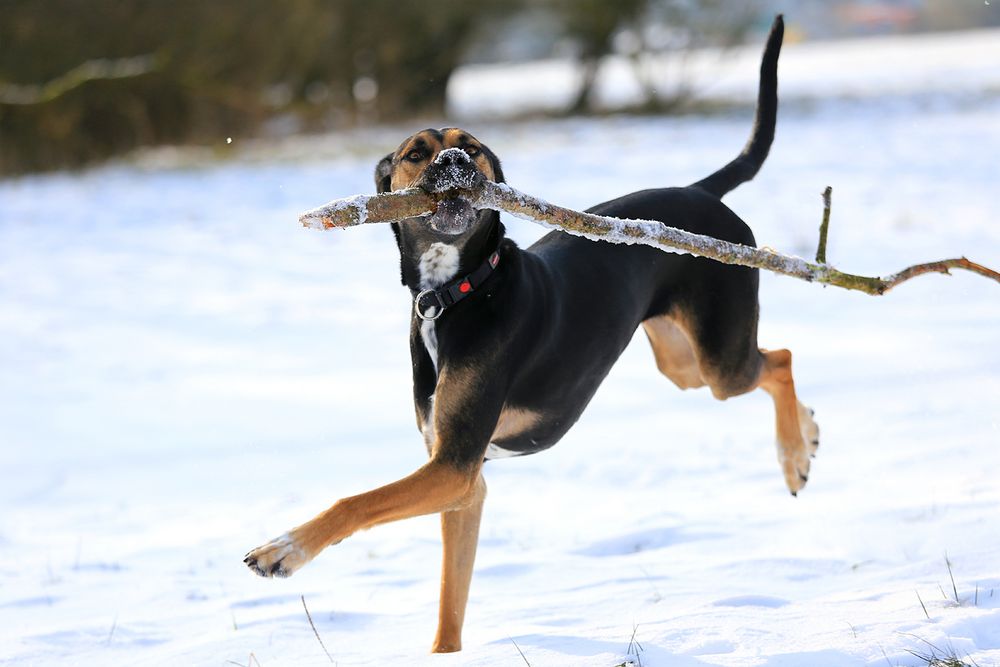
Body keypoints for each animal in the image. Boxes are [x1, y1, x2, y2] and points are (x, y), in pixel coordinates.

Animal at [244, 14, 820, 652]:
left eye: (472, 147)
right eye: (417, 153)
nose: (454, 161)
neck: (454, 293)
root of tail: (700, 192)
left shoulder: (454, 465)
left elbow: (357, 502)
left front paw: (283, 549)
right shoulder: (463, 481)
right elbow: (451, 597)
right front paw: (444, 656)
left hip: (718, 358)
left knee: (780, 358)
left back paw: (793, 454)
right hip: (681, 362)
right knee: (771, 358)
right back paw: (808, 433)